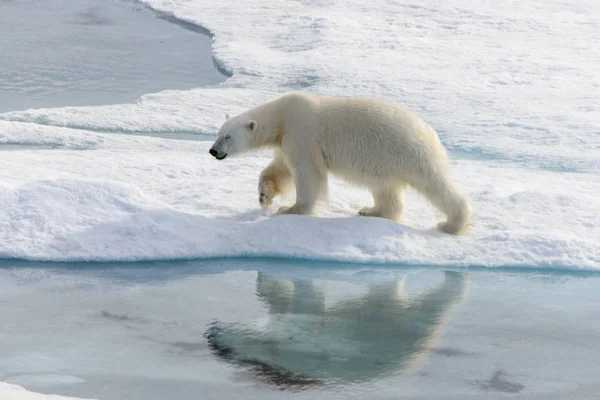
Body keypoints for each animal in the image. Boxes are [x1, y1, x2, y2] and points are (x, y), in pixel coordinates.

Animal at [211, 91, 474, 234]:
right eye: (218, 132)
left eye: (228, 137)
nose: (213, 151)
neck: (282, 117)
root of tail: (431, 134)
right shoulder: (287, 140)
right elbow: (281, 167)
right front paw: (264, 196)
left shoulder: (303, 132)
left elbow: (307, 172)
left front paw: (291, 209)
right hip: (384, 163)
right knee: (386, 189)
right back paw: (371, 211)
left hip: (408, 153)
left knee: (434, 184)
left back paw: (451, 224)